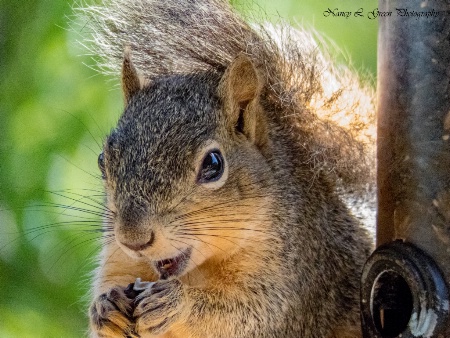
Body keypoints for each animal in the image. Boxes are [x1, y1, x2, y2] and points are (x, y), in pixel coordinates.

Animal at [78, 0, 376, 338]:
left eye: (213, 164)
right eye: (102, 160)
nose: (133, 239)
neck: (196, 270)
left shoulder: (298, 279)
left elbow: (244, 316)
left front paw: (178, 303)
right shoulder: (118, 258)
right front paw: (105, 308)